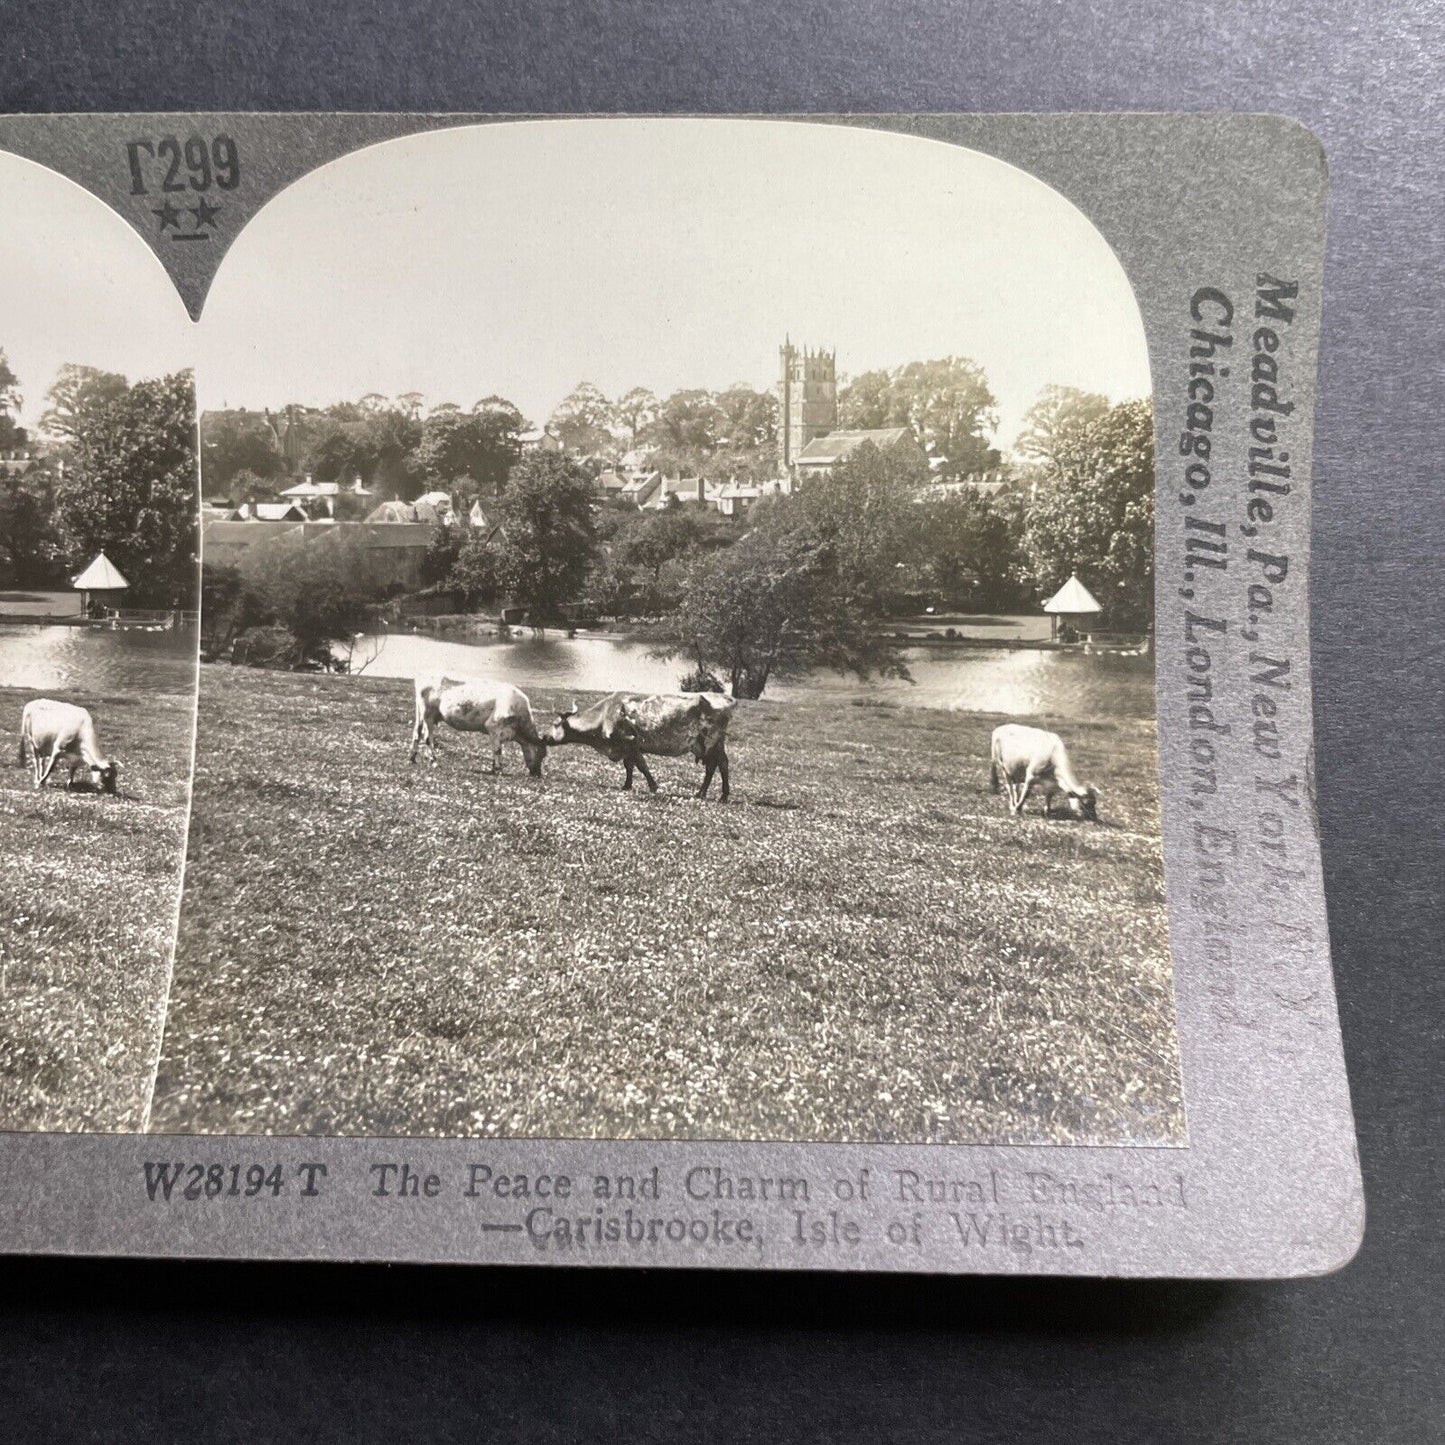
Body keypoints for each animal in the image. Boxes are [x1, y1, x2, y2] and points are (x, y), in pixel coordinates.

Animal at [410, 676, 549, 780]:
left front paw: (493, 768)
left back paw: (412, 758)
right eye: (542, 754)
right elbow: (498, 750)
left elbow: (495, 749)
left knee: (416, 732)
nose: (538, 774)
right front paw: (498, 769)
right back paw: (434, 761)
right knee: (427, 738)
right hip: (428, 715)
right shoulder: (493, 726)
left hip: (420, 714)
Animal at [546, 690, 739, 803]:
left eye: (555, 724)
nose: (543, 737)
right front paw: (627, 785)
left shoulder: (631, 742)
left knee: (721, 764)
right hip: (709, 744)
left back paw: (722, 796)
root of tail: (725, 697)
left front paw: (653, 786)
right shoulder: (626, 748)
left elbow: (641, 766)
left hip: (712, 741)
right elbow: (629, 766)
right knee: (713, 766)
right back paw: (702, 793)